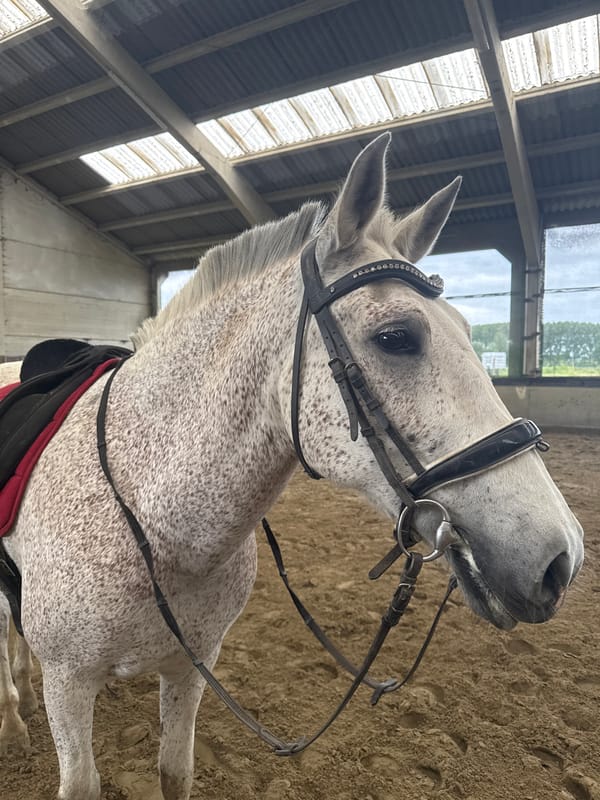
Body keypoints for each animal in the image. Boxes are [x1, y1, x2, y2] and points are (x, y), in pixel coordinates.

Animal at [0, 133, 584, 800]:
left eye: (467, 329)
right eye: (396, 336)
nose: (561, 557)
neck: (152, 517)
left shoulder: (191, 669)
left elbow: (175, 772)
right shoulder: (69, 686)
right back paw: (13, 723)